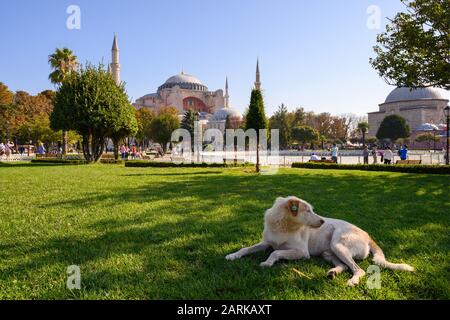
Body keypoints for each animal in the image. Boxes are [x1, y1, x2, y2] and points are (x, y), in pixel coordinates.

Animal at [225, 196, 414, 286]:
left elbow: (277, 252)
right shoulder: (266, 242)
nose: (323, 221)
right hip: (329, 252)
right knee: (344, 266)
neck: (283, 226)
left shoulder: (302, 252)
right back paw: (333, 272)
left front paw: (267, 262)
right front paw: (233, 256)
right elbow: (246, 249)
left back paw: (352, 281)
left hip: (338, 244)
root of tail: (368, 235)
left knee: (358, 269)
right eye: (307, 211)